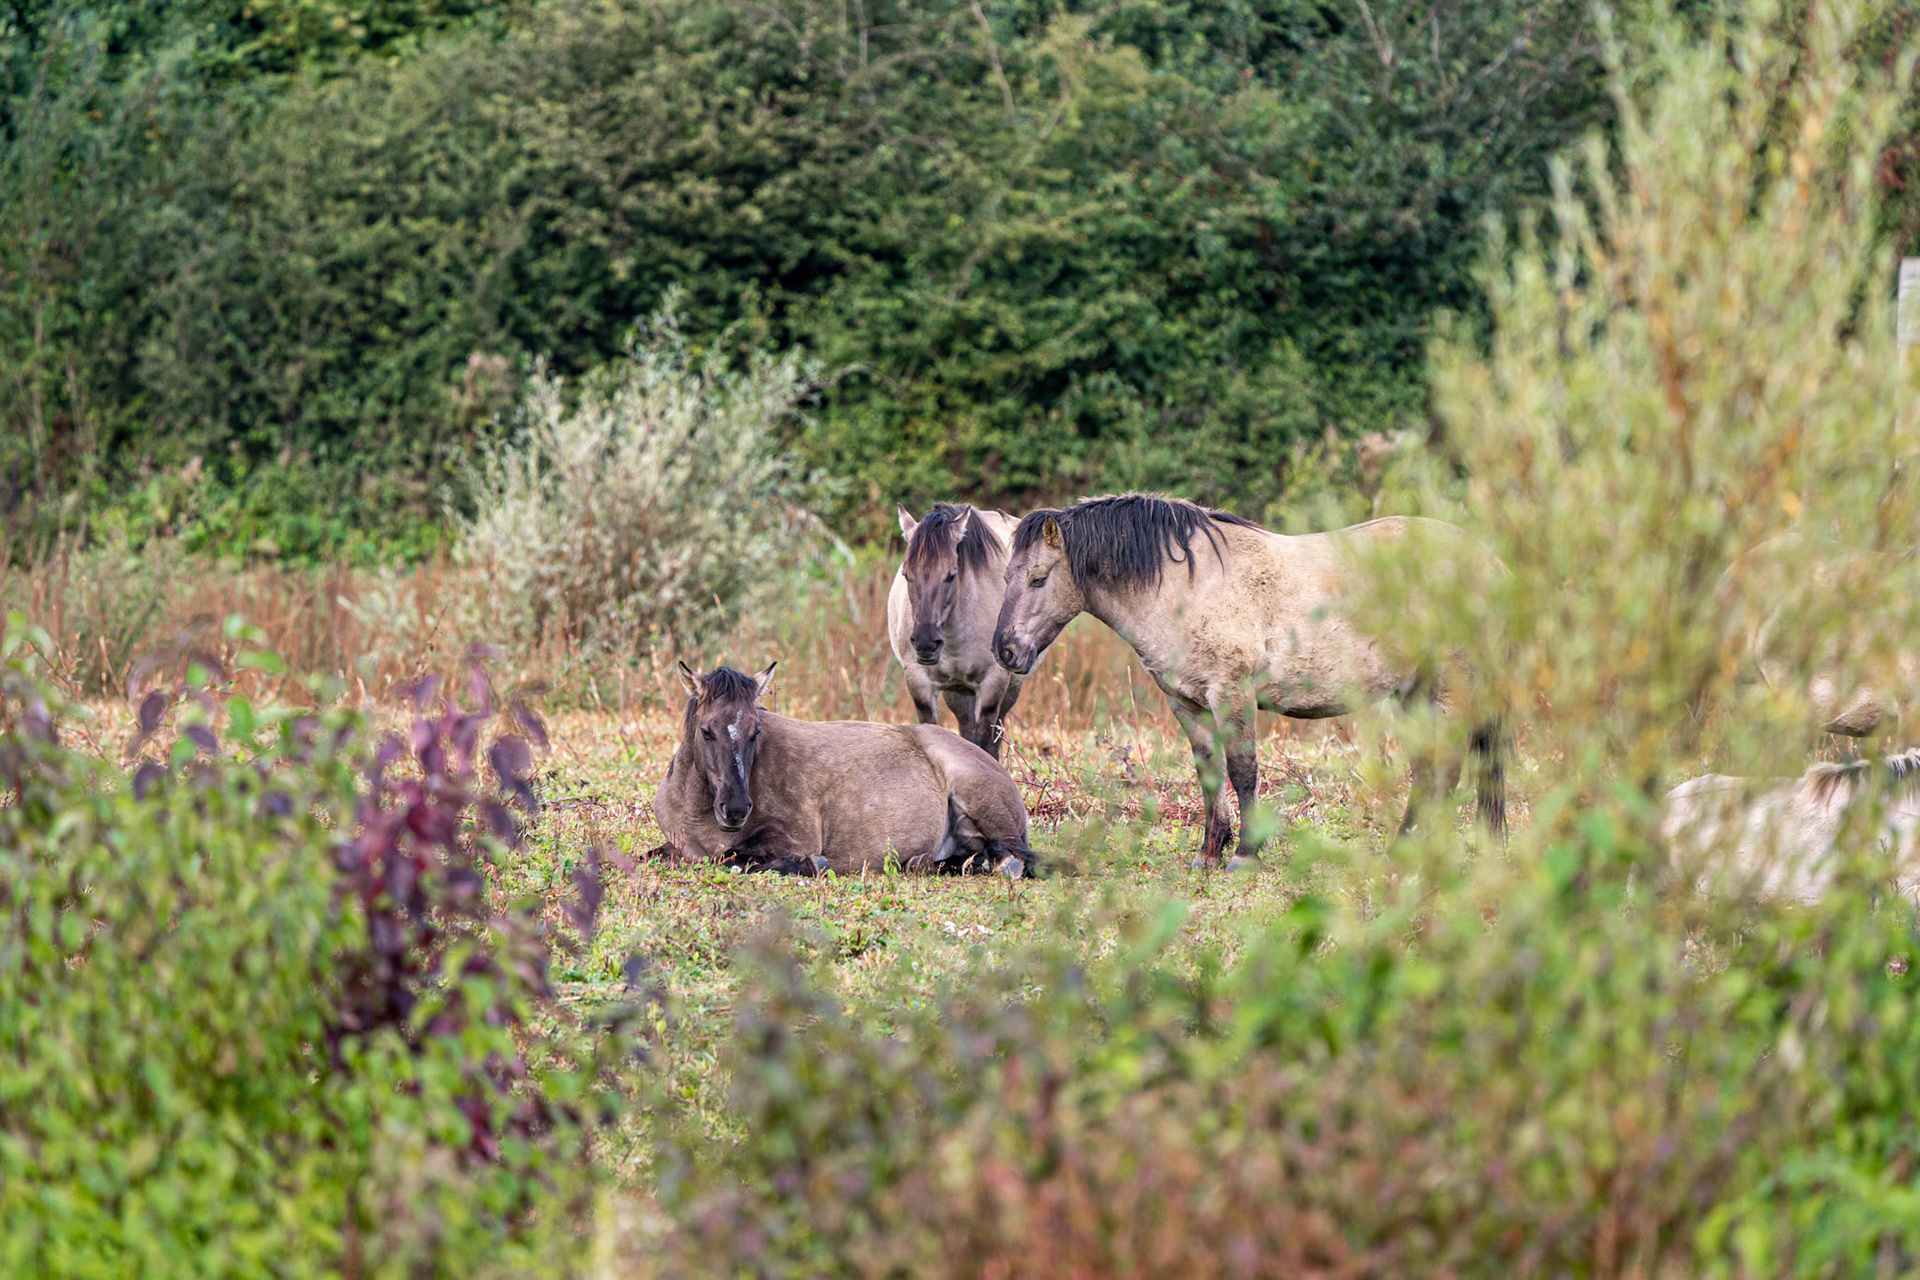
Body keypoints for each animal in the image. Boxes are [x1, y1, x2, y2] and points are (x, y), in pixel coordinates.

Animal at [652, 662, 1034, 877]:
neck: (697, 814)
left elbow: (732, 858)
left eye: (755, 731)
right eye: (707, 731)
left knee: (1017, 861)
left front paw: (810, 866)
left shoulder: (794, 838)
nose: (734, 809)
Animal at [889, 503, 1025, 758]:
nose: (925, 643)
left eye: (951, 575)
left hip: (1009, 688)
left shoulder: (993, 683)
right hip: (957, 691)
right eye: (907, 575)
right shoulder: (919, 681)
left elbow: (983, 741)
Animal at [990, 493, 1506, 869]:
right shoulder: (1186, 702)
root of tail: (1488, 559)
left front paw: (1244, 856)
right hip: (1414, 692)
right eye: (1007, 575)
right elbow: (1209, 774)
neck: (1186, 588)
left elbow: (1242, 772)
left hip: (1450, 686)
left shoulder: (1231, 694)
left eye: (1039, 578)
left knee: (1447, 769)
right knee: (1432, 770)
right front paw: (1209, 853)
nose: (1005, 651)